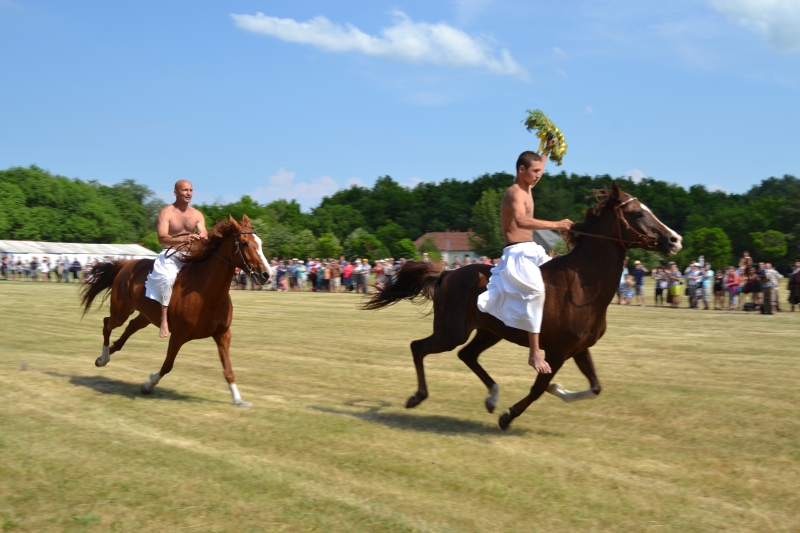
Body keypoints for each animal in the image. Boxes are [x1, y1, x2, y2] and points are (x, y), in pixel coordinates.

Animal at [80, 214, 272, 406]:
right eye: (245, 243)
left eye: (260, 242)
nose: (267, 274)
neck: (206, 294)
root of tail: (126, 265)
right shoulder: (178, 335)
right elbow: (167, 365)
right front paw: (148, 384)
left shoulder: (223, 334)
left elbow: (228, 368)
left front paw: (238, 400)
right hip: (121, 312)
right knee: (107, 324)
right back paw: (103, 358)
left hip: (146, 316)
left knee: (130, 327)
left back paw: (107, 354)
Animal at [362, 182, 680, 428]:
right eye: (637, 213)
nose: (674, 239)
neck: (583, 287)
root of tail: (448, 274)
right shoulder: (557, 352)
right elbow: (537, 388)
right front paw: (509, 415)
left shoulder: (579, 348)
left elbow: (594, 387)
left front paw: (557, 389)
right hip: (450, 332)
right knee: (419, 347)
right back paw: (418, 396)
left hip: (488, 332)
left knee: (467, 355)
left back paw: (492, 396)